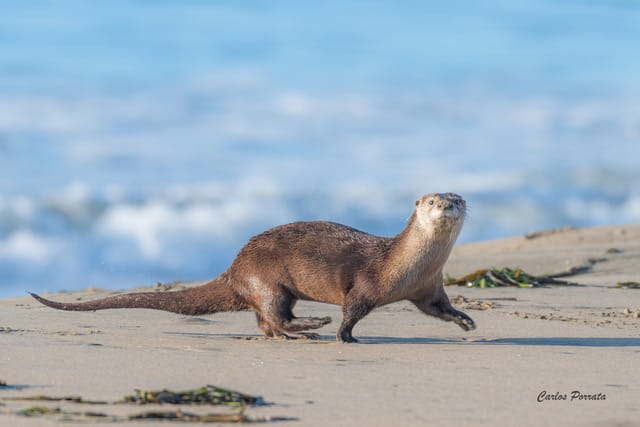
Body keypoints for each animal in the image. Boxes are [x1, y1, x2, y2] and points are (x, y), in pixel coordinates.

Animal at [30, 192, 475, 343]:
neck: (404, 267)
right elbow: (351, 310)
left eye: (458, 199)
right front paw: (345, 336)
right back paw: (311, 328)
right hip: (268, 280)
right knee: (274, 316)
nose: (447, 204)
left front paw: (465, 320)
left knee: (266, 323)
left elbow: (438, 309)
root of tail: (235, 266)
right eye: (432, 200)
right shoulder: (367, 283)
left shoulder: (427, 287)